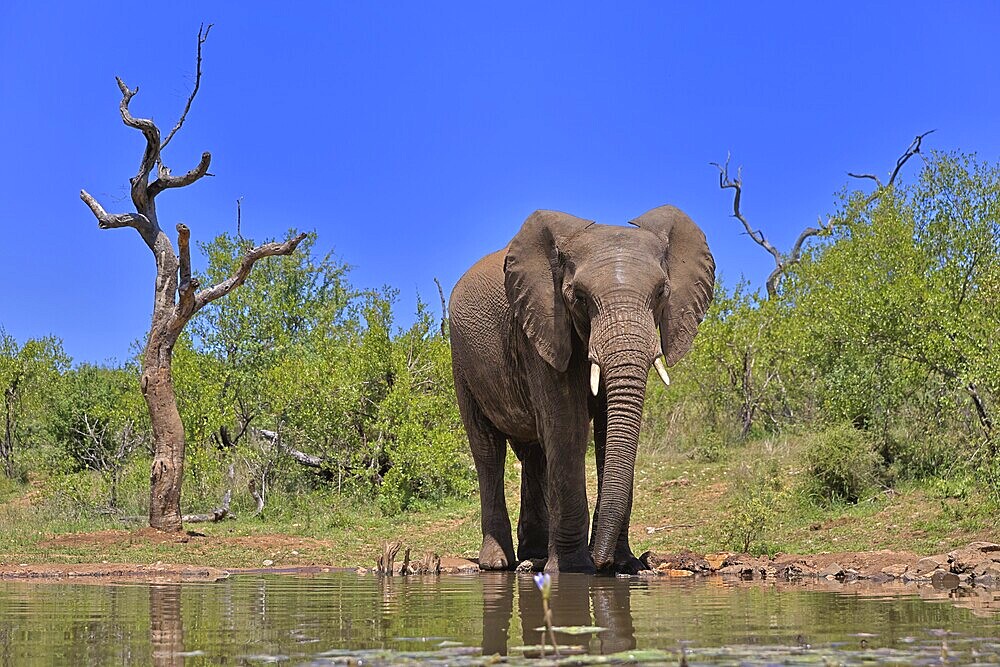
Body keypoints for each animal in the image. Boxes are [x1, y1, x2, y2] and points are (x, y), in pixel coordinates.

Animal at [450, 205, 716, 576]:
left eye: (662, 292)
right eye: (579, 297)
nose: (601, 562)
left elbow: (606, 429)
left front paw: (624, 565)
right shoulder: (541, 325)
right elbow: (568, 424)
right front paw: (574, 570)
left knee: (534, 454)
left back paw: (534, 555)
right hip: (461, 359)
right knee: (488, 450)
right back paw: (498, 564)